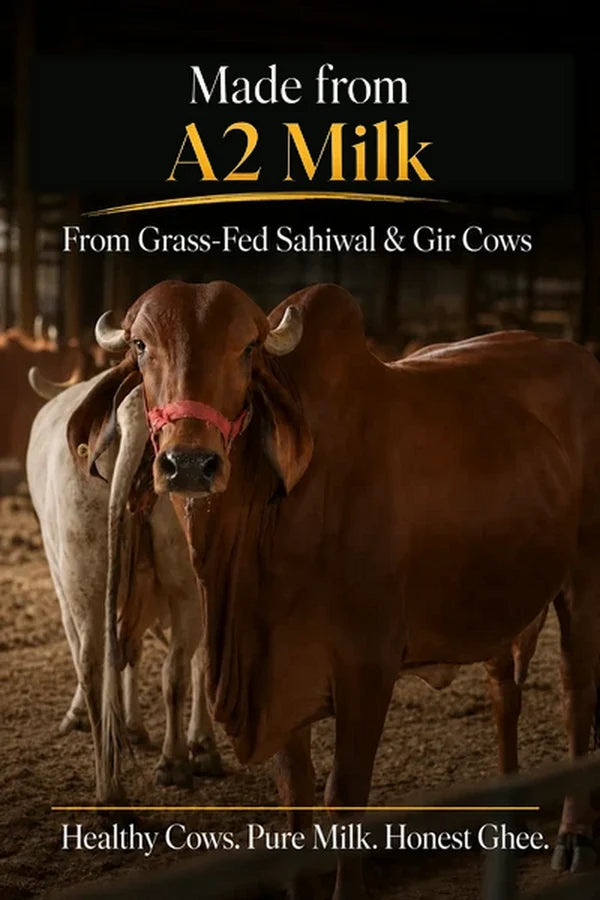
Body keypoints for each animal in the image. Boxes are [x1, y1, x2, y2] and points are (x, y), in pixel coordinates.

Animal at [26, 368, 223, 797]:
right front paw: (196, 744)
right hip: (179, 584)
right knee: (172, 667)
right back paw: (170, 763)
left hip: (83, 572)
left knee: (93, 659)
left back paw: (111, 783)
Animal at [69, 279, 600, 898]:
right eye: (141, 346)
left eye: (247, 349)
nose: (191, 464)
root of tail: (578, 355)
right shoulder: (272, 672)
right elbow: (295, 797)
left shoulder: (367, 664)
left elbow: (344, 795)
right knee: (504, 693)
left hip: (583, 577)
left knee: (575, 694)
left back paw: (573, 835)